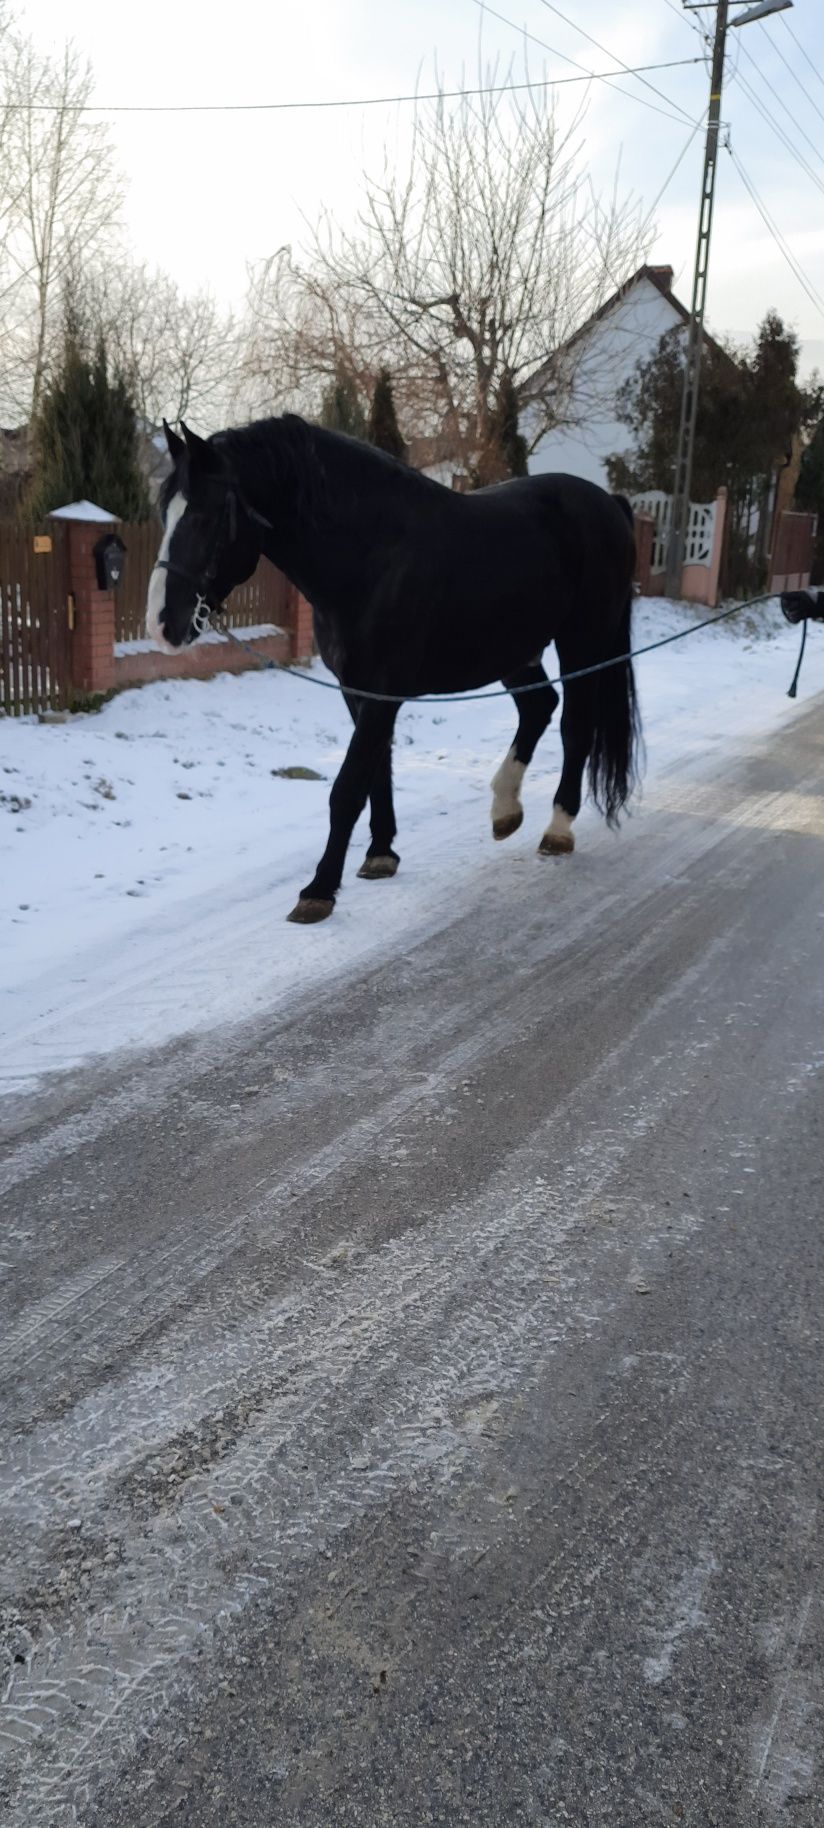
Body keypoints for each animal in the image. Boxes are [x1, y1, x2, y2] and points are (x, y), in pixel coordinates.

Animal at [145, 418, 643, 921]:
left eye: (205, 516)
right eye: (164, 512)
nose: (162, 624)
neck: (372, 553)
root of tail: (609, 504)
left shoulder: (385, 690)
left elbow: (348, 787)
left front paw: (319, 889)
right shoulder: (359, 690)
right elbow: (376, 770)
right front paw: (380, 853)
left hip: (583, 643)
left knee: (575, 727)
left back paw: (558, 828)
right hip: (514, 651)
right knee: (539, 706)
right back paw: (505, 809)